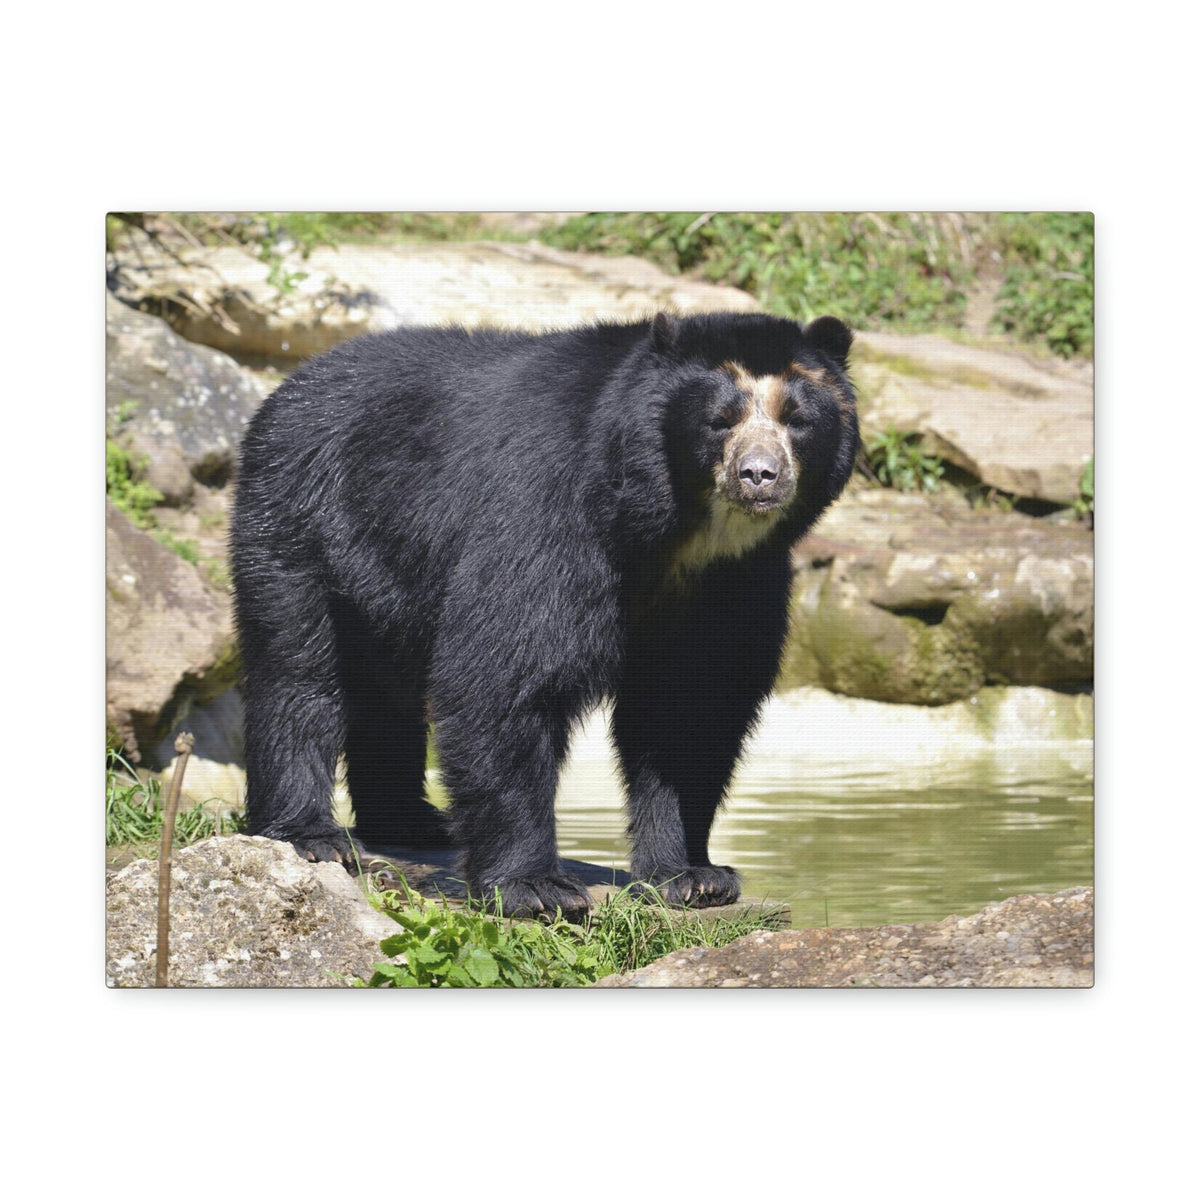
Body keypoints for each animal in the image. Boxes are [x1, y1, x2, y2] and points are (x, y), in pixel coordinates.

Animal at [230, 310, 858, 919]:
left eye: (797, 419)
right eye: (719, 420)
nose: (760, 475)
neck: (680, 537)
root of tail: (294, 382)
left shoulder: (737, 583)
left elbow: (694, 708)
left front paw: (694, 877)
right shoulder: (549, 515)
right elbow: (507, 676)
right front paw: (536, 888)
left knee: (386, 689)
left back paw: (412, 821)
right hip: (303, 519)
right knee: (298, 672)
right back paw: (314, 835)